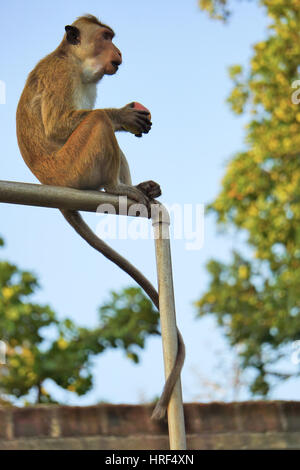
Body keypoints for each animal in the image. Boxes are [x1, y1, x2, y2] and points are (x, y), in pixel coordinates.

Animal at [17, 14, 185, 420]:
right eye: (106, 37)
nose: (118, 51)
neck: (76, 63)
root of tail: (48, 182)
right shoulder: (61, 76)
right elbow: (61, 125)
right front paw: (123, 115)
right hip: (71, 169)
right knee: (95, 124)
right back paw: (116, 187)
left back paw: (137, 187)